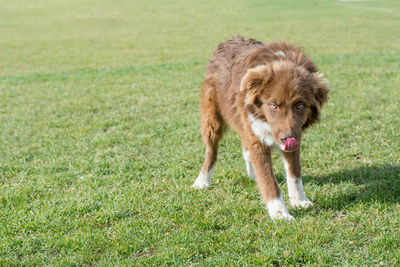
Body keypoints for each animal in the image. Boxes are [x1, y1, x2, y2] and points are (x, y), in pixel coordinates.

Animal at [192, 35, 330, 221]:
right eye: (273, 105)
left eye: (300, 105)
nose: (287, 138)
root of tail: (231, 39)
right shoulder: (258, 139)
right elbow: (268, 181)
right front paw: (280, 214)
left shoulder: (294, 133)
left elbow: (294, 173)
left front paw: (299, 200)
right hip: (212, 117)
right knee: (211, 150)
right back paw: (202, 181)